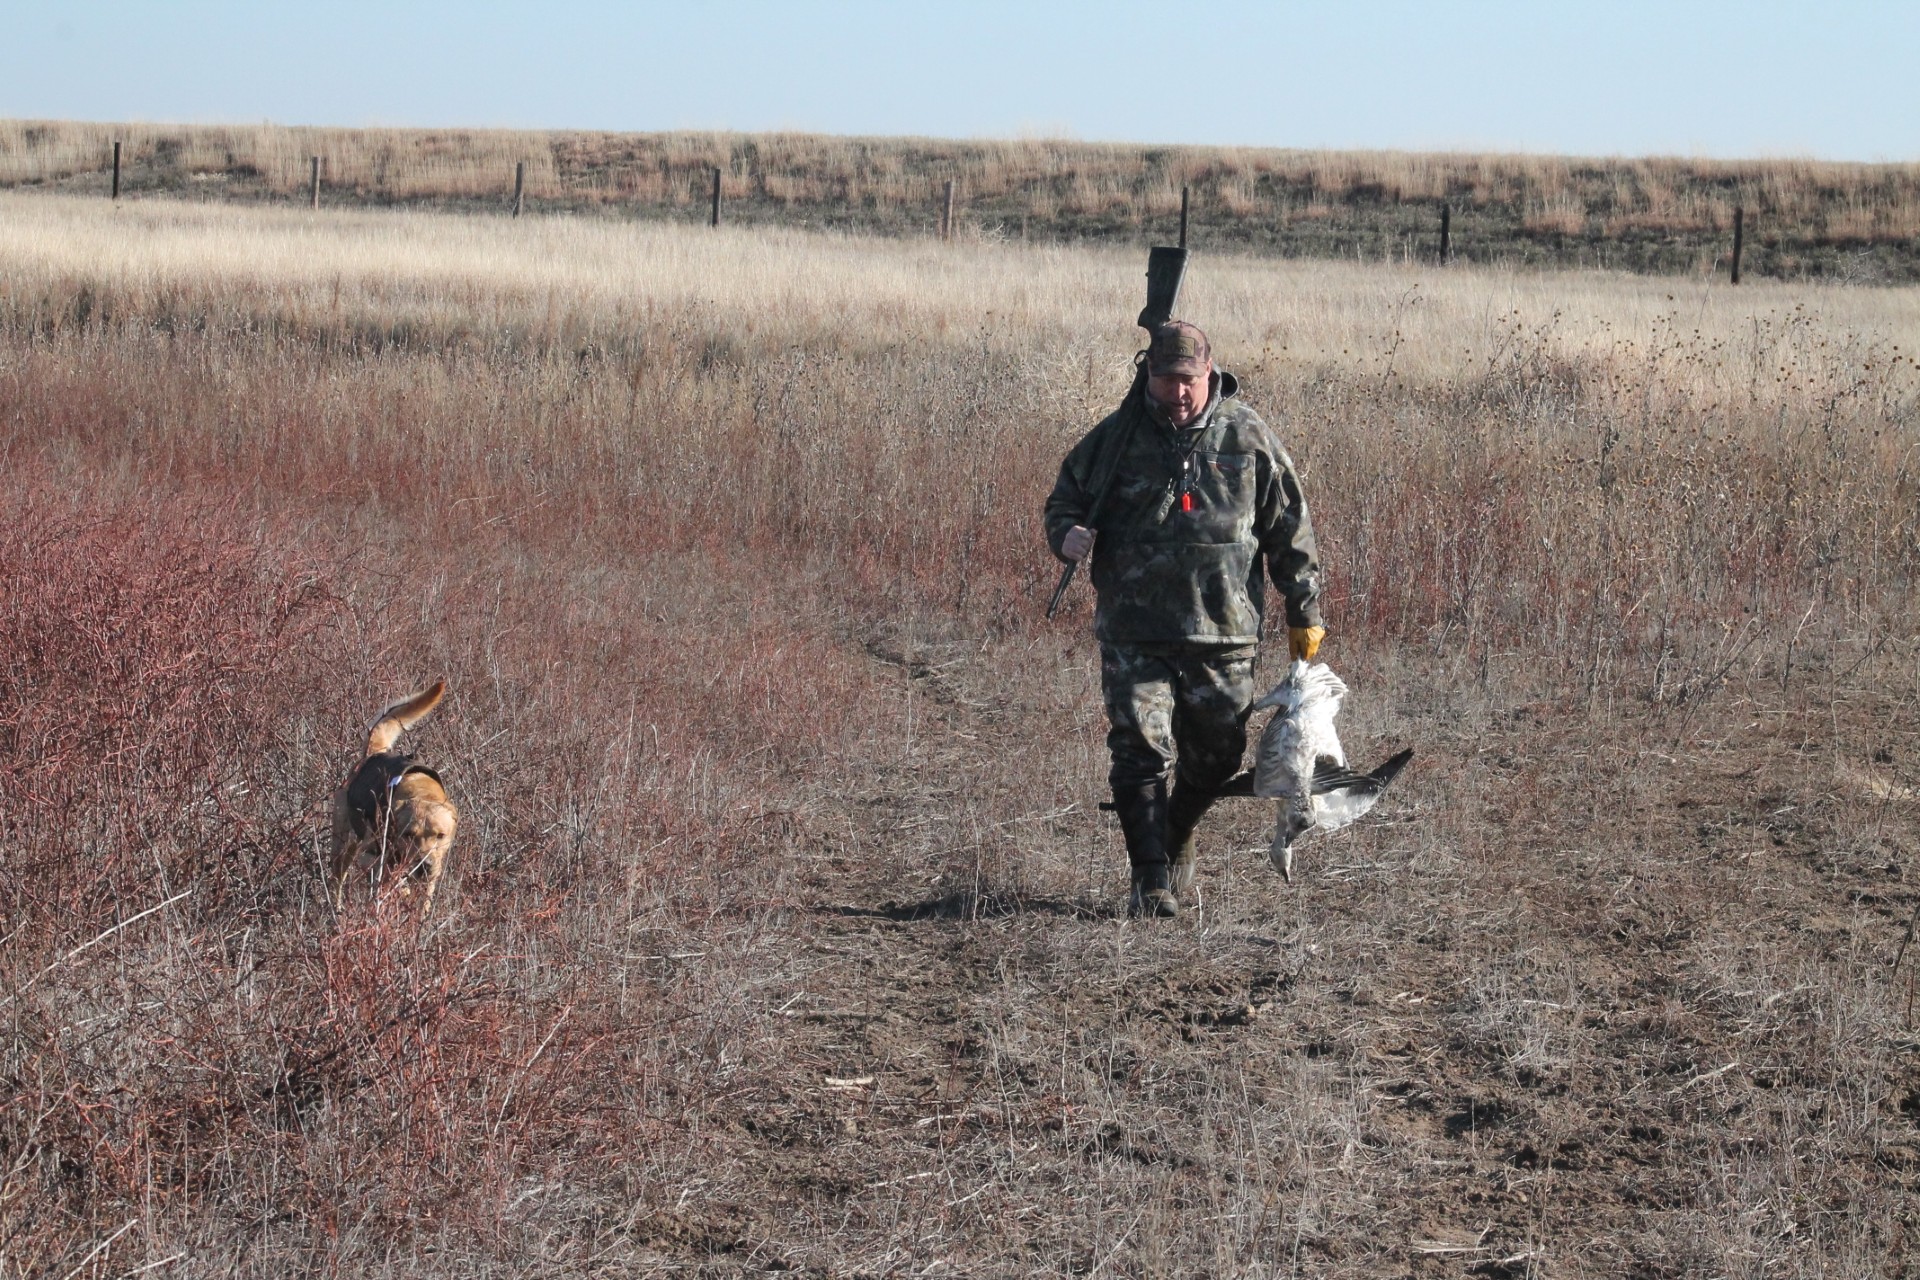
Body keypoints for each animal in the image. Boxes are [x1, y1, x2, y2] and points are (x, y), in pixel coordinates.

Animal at [332, 687, 458, 917]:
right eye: (408, 835)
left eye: (441, 835)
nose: (424, 866)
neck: (419, 789)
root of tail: (375, 752)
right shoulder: (371, 857)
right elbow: (396, 881)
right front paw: (401, 891)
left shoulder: (431, 877)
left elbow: (423, 901)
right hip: (342, 841)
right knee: (337, 875)